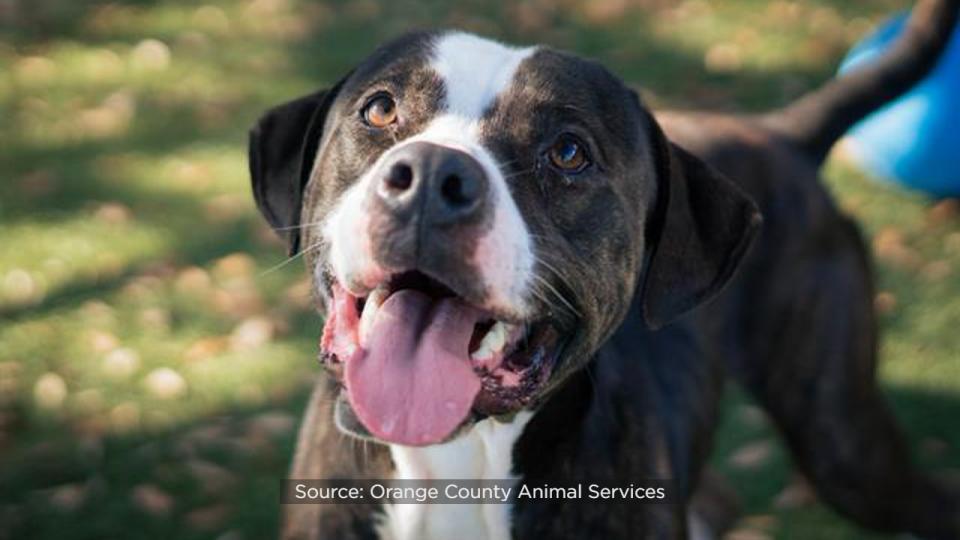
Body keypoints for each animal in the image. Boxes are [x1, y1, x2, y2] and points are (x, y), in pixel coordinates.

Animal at [249, 2, 960, 536]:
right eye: (379, 110)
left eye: (568, 152)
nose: (431, 176)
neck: (455, 461)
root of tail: (782, 134)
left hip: (842, 438)